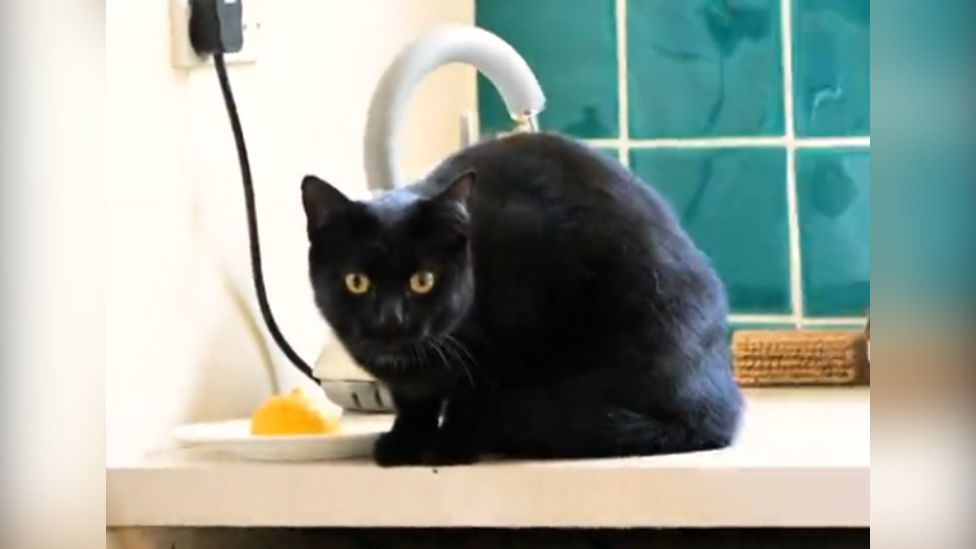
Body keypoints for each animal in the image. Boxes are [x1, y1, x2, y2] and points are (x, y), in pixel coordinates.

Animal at [302, 131, 744, 464]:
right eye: (356, 282)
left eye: (423, 280)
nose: (391, 318)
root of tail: (721, 406)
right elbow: (414, 401)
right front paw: (405, 442)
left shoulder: (513, 328)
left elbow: (469, 397)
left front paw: (450, 446)